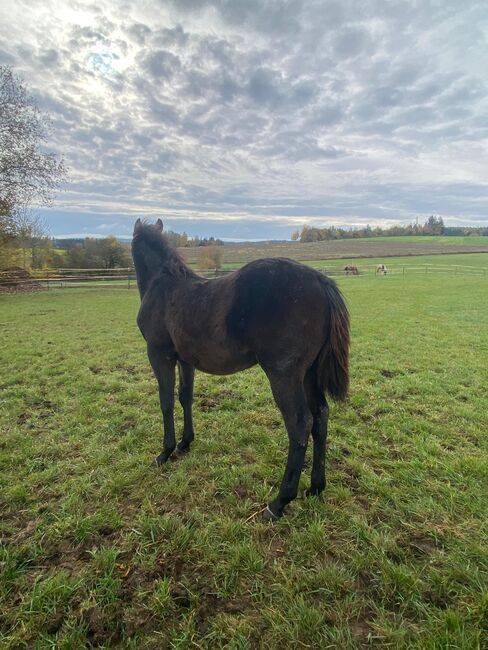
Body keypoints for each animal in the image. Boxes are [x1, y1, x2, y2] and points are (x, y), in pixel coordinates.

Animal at [132, 220, 348, 520]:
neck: (163, 286)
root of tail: (320, 280)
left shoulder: (158, 353)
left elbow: (166, 402)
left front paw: (165, 453)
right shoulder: (185, 359)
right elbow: (185, 397)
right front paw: (186, 443)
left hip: (284, 374)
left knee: (300, 423)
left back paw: (279, 502)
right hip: (309, 374)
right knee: (320, 416)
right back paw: (316, 487)